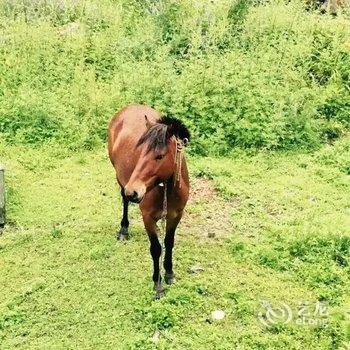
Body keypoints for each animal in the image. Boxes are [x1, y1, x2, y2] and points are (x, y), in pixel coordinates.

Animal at [108, 104, 190, 298]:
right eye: (140, 153)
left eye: (159, 156)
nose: (134, 191)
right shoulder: (147, 218)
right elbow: (156, 249)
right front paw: (157, 284)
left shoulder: (176, 215)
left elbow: (169, 242)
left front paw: (169, 273)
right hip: (120, 179)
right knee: (124, 200)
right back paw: (124, 230)